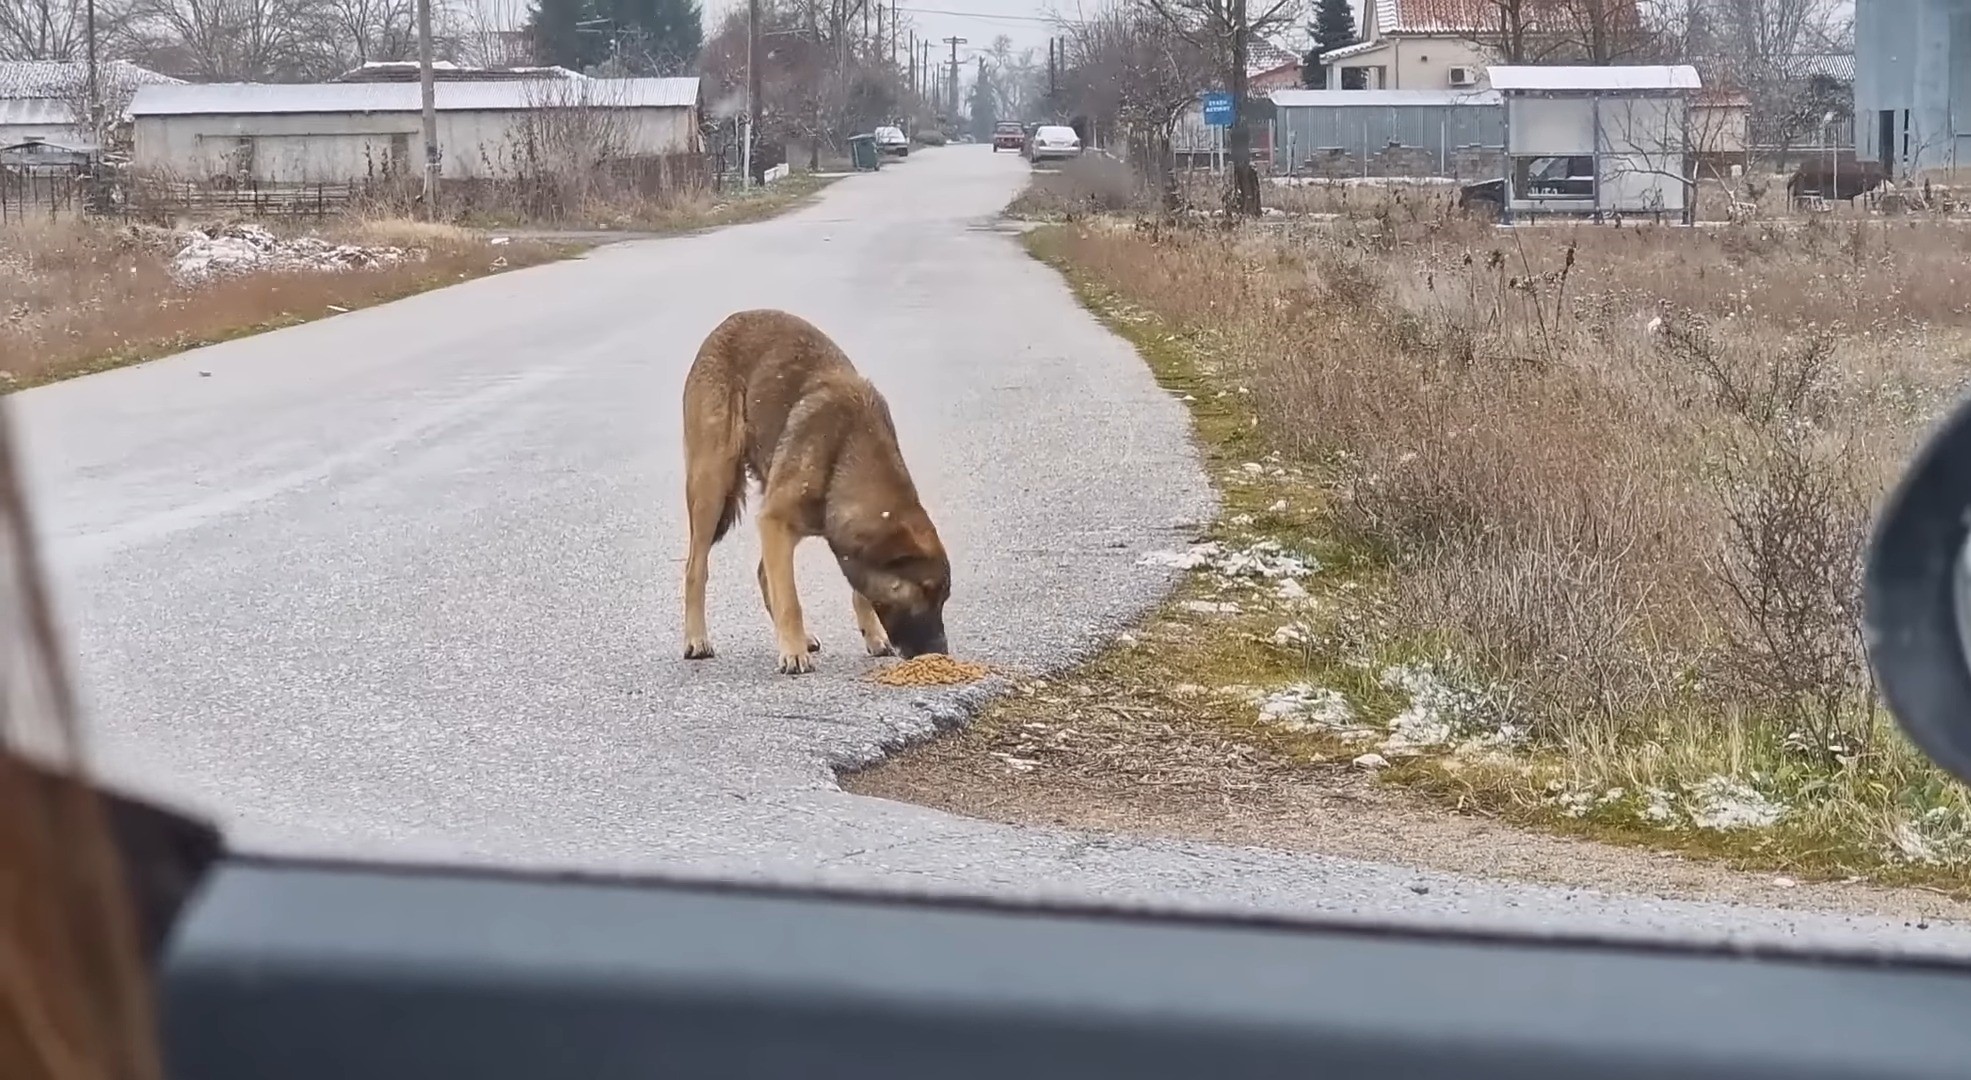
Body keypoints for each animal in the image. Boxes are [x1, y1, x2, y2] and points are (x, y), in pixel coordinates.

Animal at [681, 307, 950, 670]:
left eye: (943, 597)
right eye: (924, 591)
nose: (942, 653)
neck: (849, 449)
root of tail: (730, 320)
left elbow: (857, 590)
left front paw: (872, 634)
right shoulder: (775, 521)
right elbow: (791, 600)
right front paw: (793, 653)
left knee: (764, 573)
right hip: (712, 484)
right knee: (696, 568)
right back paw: (697, 638)